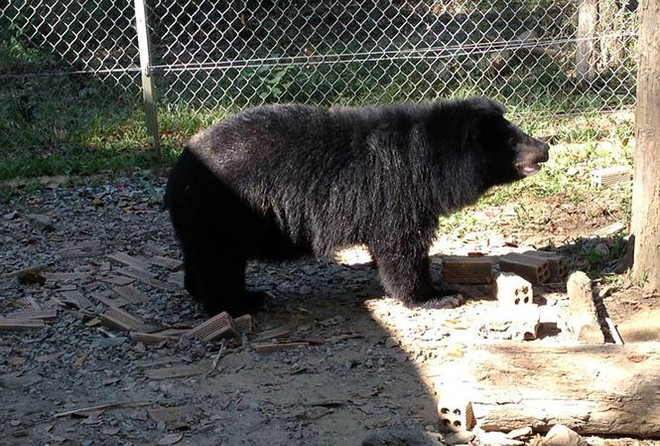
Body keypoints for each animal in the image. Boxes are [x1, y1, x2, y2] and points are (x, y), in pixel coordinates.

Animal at [164, 97, 550, 317]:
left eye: (519, 132)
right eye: (512, 140)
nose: (545, 147)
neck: (426, 162)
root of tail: (177, 173)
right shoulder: (395, 193)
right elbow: (400, 250)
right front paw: (437, 296)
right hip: (221, 214)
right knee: (220, 265)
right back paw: (241, 302)